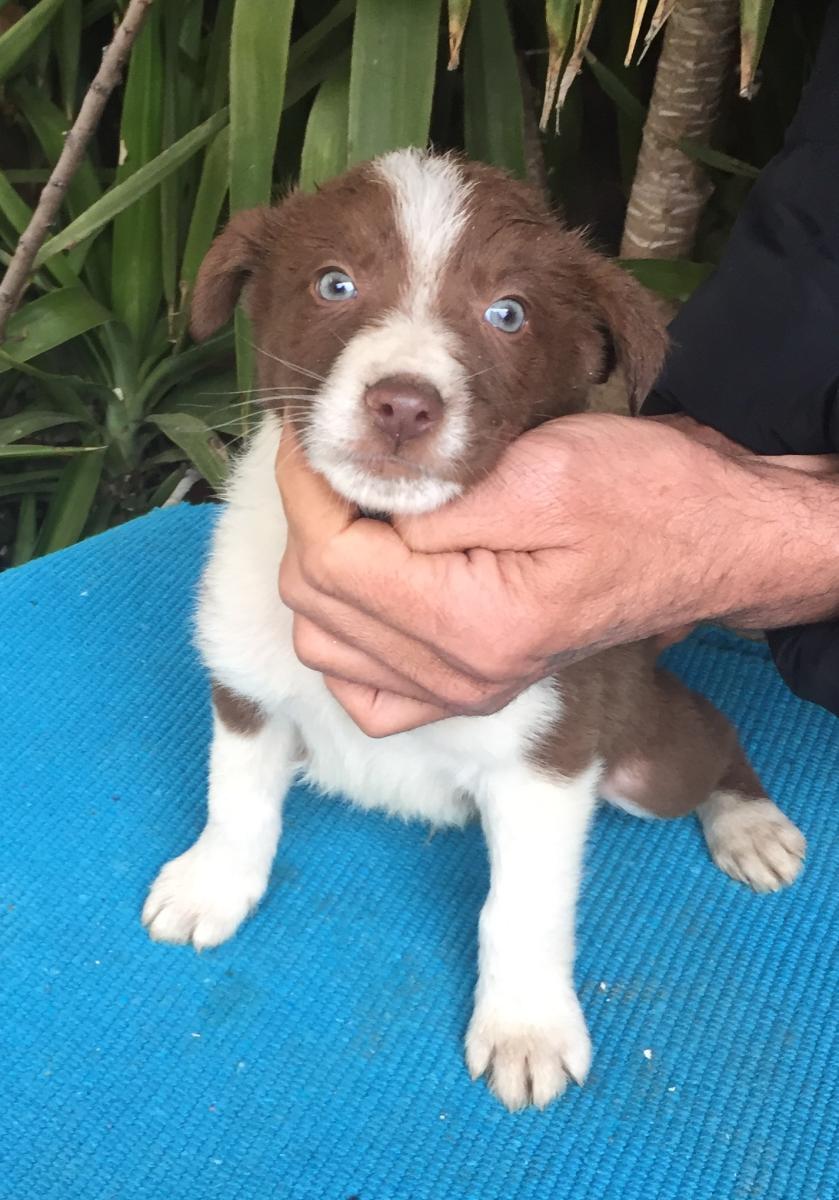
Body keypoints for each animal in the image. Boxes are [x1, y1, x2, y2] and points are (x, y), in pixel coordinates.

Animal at [144, 152, 806, 1113]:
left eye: (508, 314)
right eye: (334, 284)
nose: (401, 407)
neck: (382, 527)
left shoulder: (547, 759)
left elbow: (521, 906)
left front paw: (525, 1026)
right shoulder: (248, 686)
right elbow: (236, 801)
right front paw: (213, 884)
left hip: (646, 758)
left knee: (711, 735)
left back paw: (746, 820)